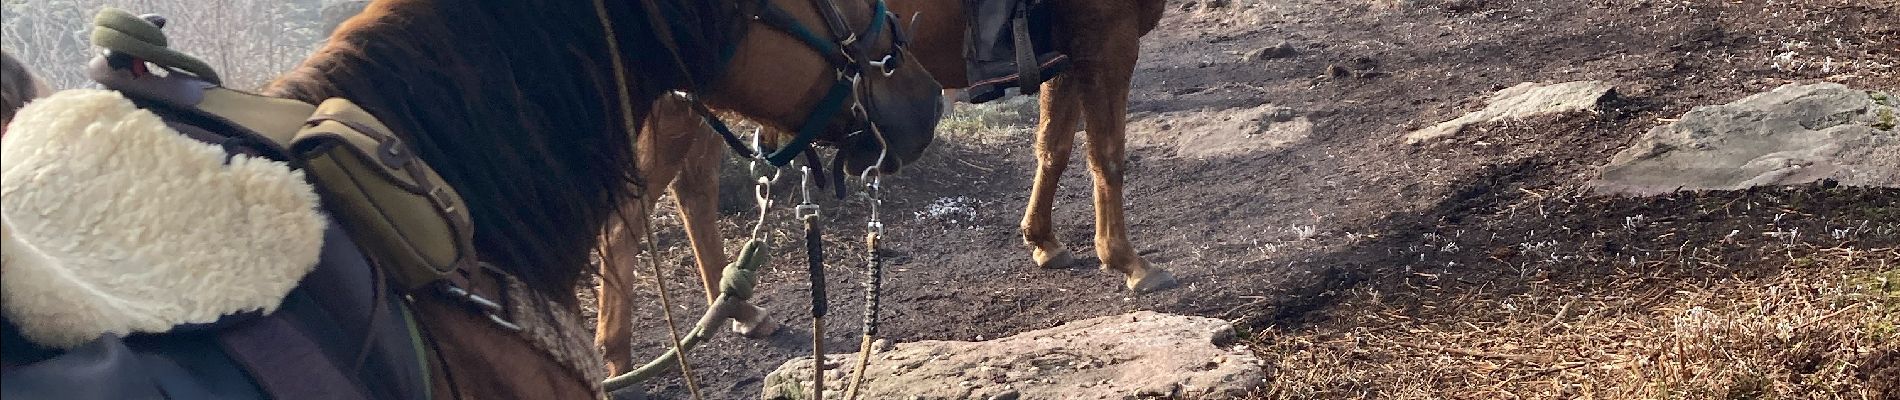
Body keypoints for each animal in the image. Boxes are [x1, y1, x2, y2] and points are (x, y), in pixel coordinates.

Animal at [600, 0, 1170, 377]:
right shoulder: (1106, 39)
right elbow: (1106, 155)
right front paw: (1127, 260)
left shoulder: (1067, 54)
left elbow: (1054, 147)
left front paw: (1043, 240)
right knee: (626, 215)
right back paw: (618, 355)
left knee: (691, 188)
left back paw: (738, 310)